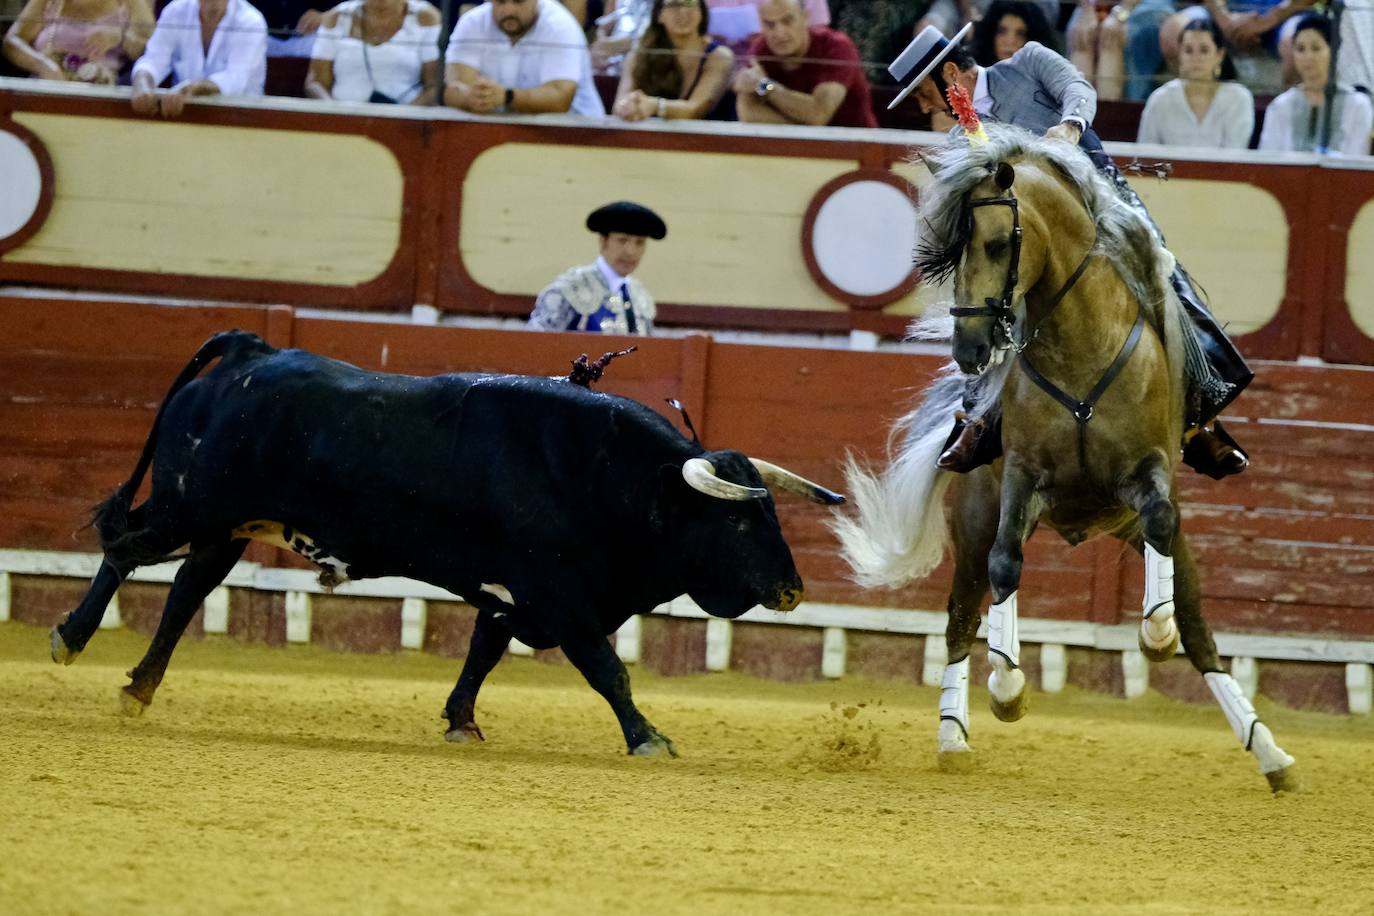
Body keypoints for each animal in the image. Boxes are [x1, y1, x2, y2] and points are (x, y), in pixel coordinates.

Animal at [53, 333, 840, 758]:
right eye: (739, 522)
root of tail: (256, 350)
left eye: (773, 516)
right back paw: (71, 639)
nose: (794, 589)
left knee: (187, 590)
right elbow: (607, 671)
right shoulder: (561, 599)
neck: (612, 477)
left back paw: (138, 689)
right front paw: (649, 738)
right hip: (189, 507)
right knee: (123, 550)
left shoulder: (511, 595)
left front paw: (462, 722)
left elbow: (482, 654)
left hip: (228, 528)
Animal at [835, 125, 1297, 791]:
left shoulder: (1148, 474)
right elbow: (1006, 567)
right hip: (974, 521)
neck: (1080, 346)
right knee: (961, 617)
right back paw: (953, 736)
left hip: (1146, 531)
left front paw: (1153, 633)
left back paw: (1269, 752)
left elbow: (1161, 540)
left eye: (999, 243)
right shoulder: (1022, 481)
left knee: (1199, 631)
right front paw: (1007, 687)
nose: (969, 349)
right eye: (952, 252)